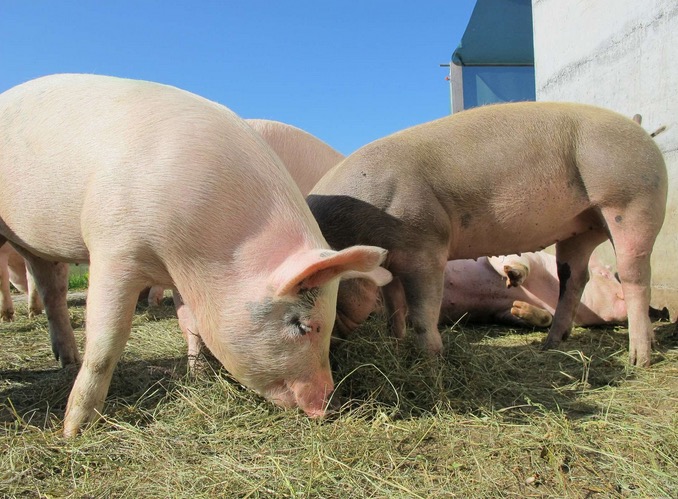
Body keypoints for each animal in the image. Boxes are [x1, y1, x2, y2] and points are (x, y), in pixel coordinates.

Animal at [0, 73, 391, 437]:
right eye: (304, 326)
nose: (330, 406)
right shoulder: (114, 246)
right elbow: (108, 339)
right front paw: (74, 430)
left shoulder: (181, 274)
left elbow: (191, 323)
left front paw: (198, 375)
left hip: (38, 249)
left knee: (51, 286)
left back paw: (66, 359)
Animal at [439, 252, 627, 327]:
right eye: (604, 274)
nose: (624, 293)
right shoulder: (530, 256)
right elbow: (512, 262)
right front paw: (512, 275)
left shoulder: (498, 312)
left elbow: (545, 319)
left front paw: (518, 308)